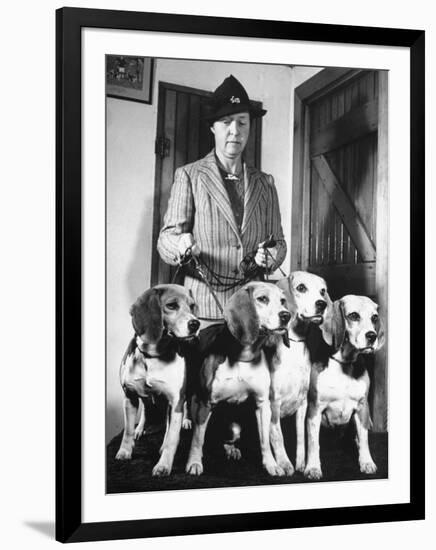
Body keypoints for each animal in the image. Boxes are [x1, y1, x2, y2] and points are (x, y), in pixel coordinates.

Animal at [114, 286, 199, 476]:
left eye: (192, 306)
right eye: (172, 305)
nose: (196, 323)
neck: (153, 355)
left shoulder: (175, 402)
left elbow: (172, 439)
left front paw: (164, 465)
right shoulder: (129, 396)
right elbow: (127, 430)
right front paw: (125, 451)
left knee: (183, 409)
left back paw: (186, 421)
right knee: (146, 410)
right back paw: (140, 429)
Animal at [186, 282, 292, 476]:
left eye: (282, 301)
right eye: (262, 299)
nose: (286, 315)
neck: (244, 357)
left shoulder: (262, 404)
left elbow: (265, 441)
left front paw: (271, 464)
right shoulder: (205, 402)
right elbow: (198, 439)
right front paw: (194, 462)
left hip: (233, 428)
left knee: (225, 439)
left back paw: (231, 449)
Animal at [304, 296, 384, 480]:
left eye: (374, 317)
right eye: (353, 316)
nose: (372, 336)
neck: (344, 364)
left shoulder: (362, 407)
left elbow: (364, 439)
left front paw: (366, 462)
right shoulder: (314, 409)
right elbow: (313, 443)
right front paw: (313, 467)